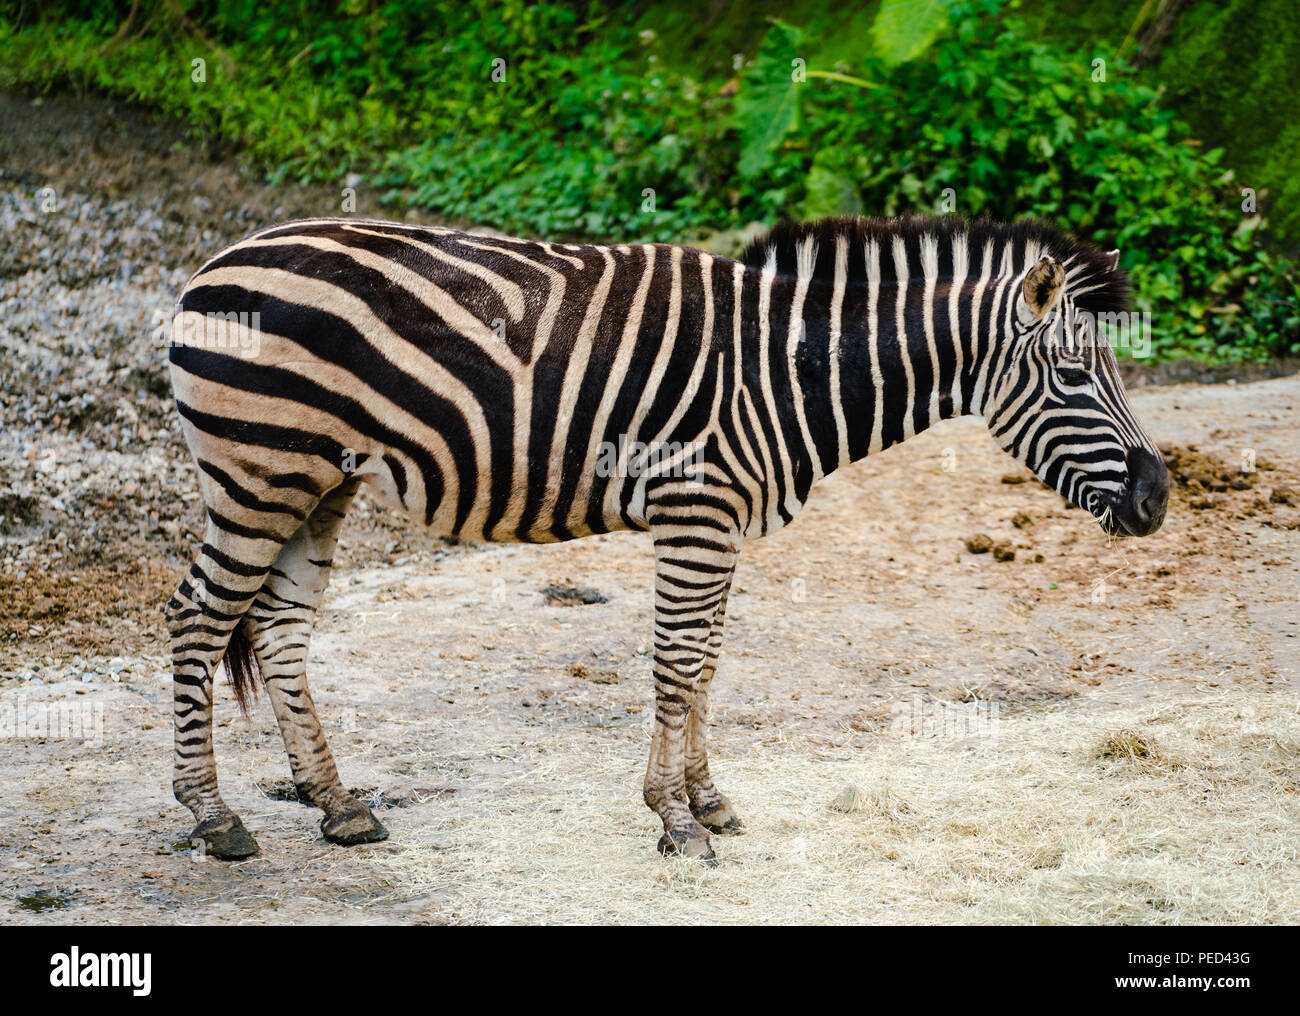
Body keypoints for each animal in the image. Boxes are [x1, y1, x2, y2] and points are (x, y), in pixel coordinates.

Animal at [162, 213, 1170, 857]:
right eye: (1074, 375)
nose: (1159, 500)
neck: (789, 368)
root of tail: (218, 259)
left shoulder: (724, 521)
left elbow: (710, 659)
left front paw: (709, 800)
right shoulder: (696, 509)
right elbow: (679, 662)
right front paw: (673, 820)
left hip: (318, 480)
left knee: (280, 630)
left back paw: (338, 806)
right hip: (260, 471)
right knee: (195, 618)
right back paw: (213, 819)